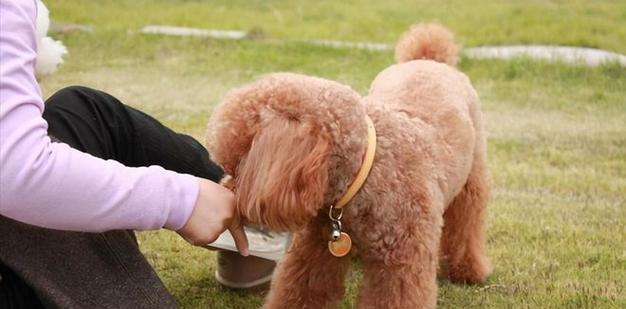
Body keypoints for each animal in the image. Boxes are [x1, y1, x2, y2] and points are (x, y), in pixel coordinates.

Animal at [207, 22, 490, 306]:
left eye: (237, 167)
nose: (226, 197)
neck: (363, 174)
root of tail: (427, 59)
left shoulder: (401, 261)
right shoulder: (315, 249)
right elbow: (300, 290)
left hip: (472, 175)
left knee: (466, 222)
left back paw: (467, 270)